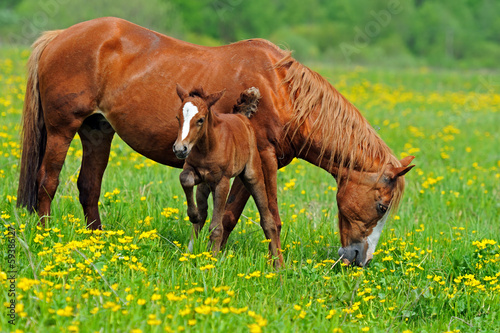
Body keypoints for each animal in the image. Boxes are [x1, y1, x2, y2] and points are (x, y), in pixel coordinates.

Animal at [16, 18, 414, 268]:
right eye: (381, 206)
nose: (360, 260)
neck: (281, 91)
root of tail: (59, 36)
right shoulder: (264, 159)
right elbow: (269, 215)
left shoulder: (245, 165)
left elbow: (230, 214)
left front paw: (215, 255)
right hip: (63, 129)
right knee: (47, 182)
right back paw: (47, 237)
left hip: (97, 131)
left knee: (88, 187)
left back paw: (97, 243)